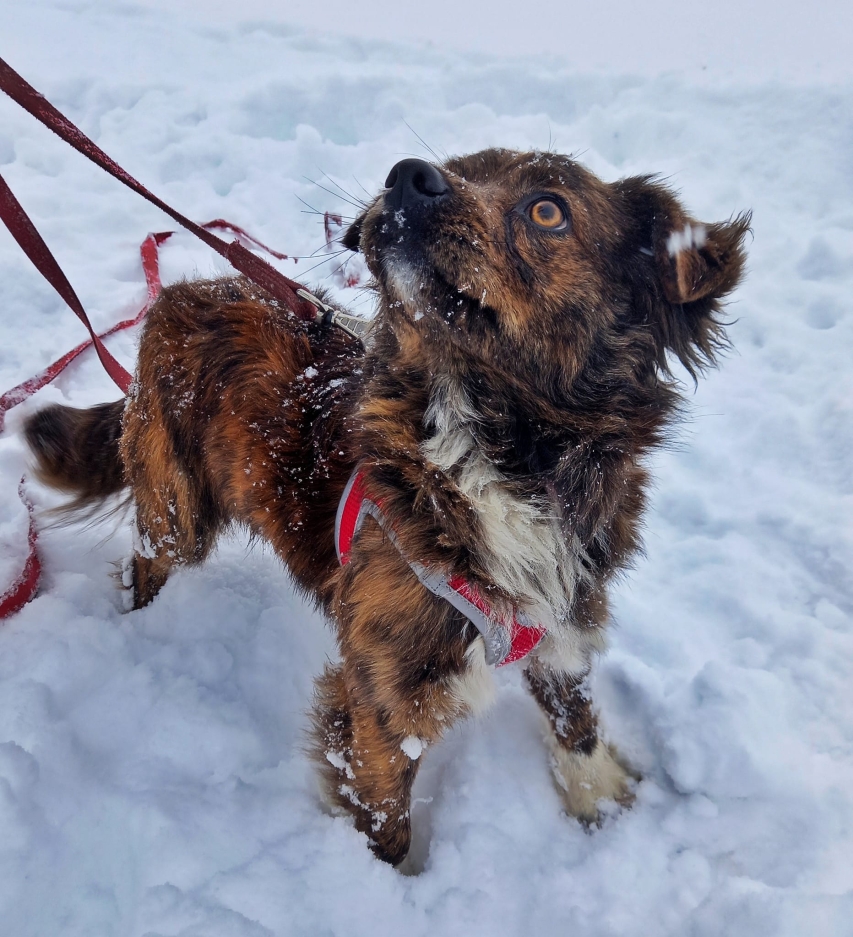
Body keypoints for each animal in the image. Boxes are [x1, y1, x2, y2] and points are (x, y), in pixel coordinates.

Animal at [25, 148, 744, 864]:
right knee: (148, 560)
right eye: (457, 164)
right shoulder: (385, 698)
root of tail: (176, 296)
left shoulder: (564, 610)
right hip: (178, 510)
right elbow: (385, 818)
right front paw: (380, 880)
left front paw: (599, 793)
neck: (494, 454)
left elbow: (573, 706)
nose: (407, 175)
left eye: (548, 209)